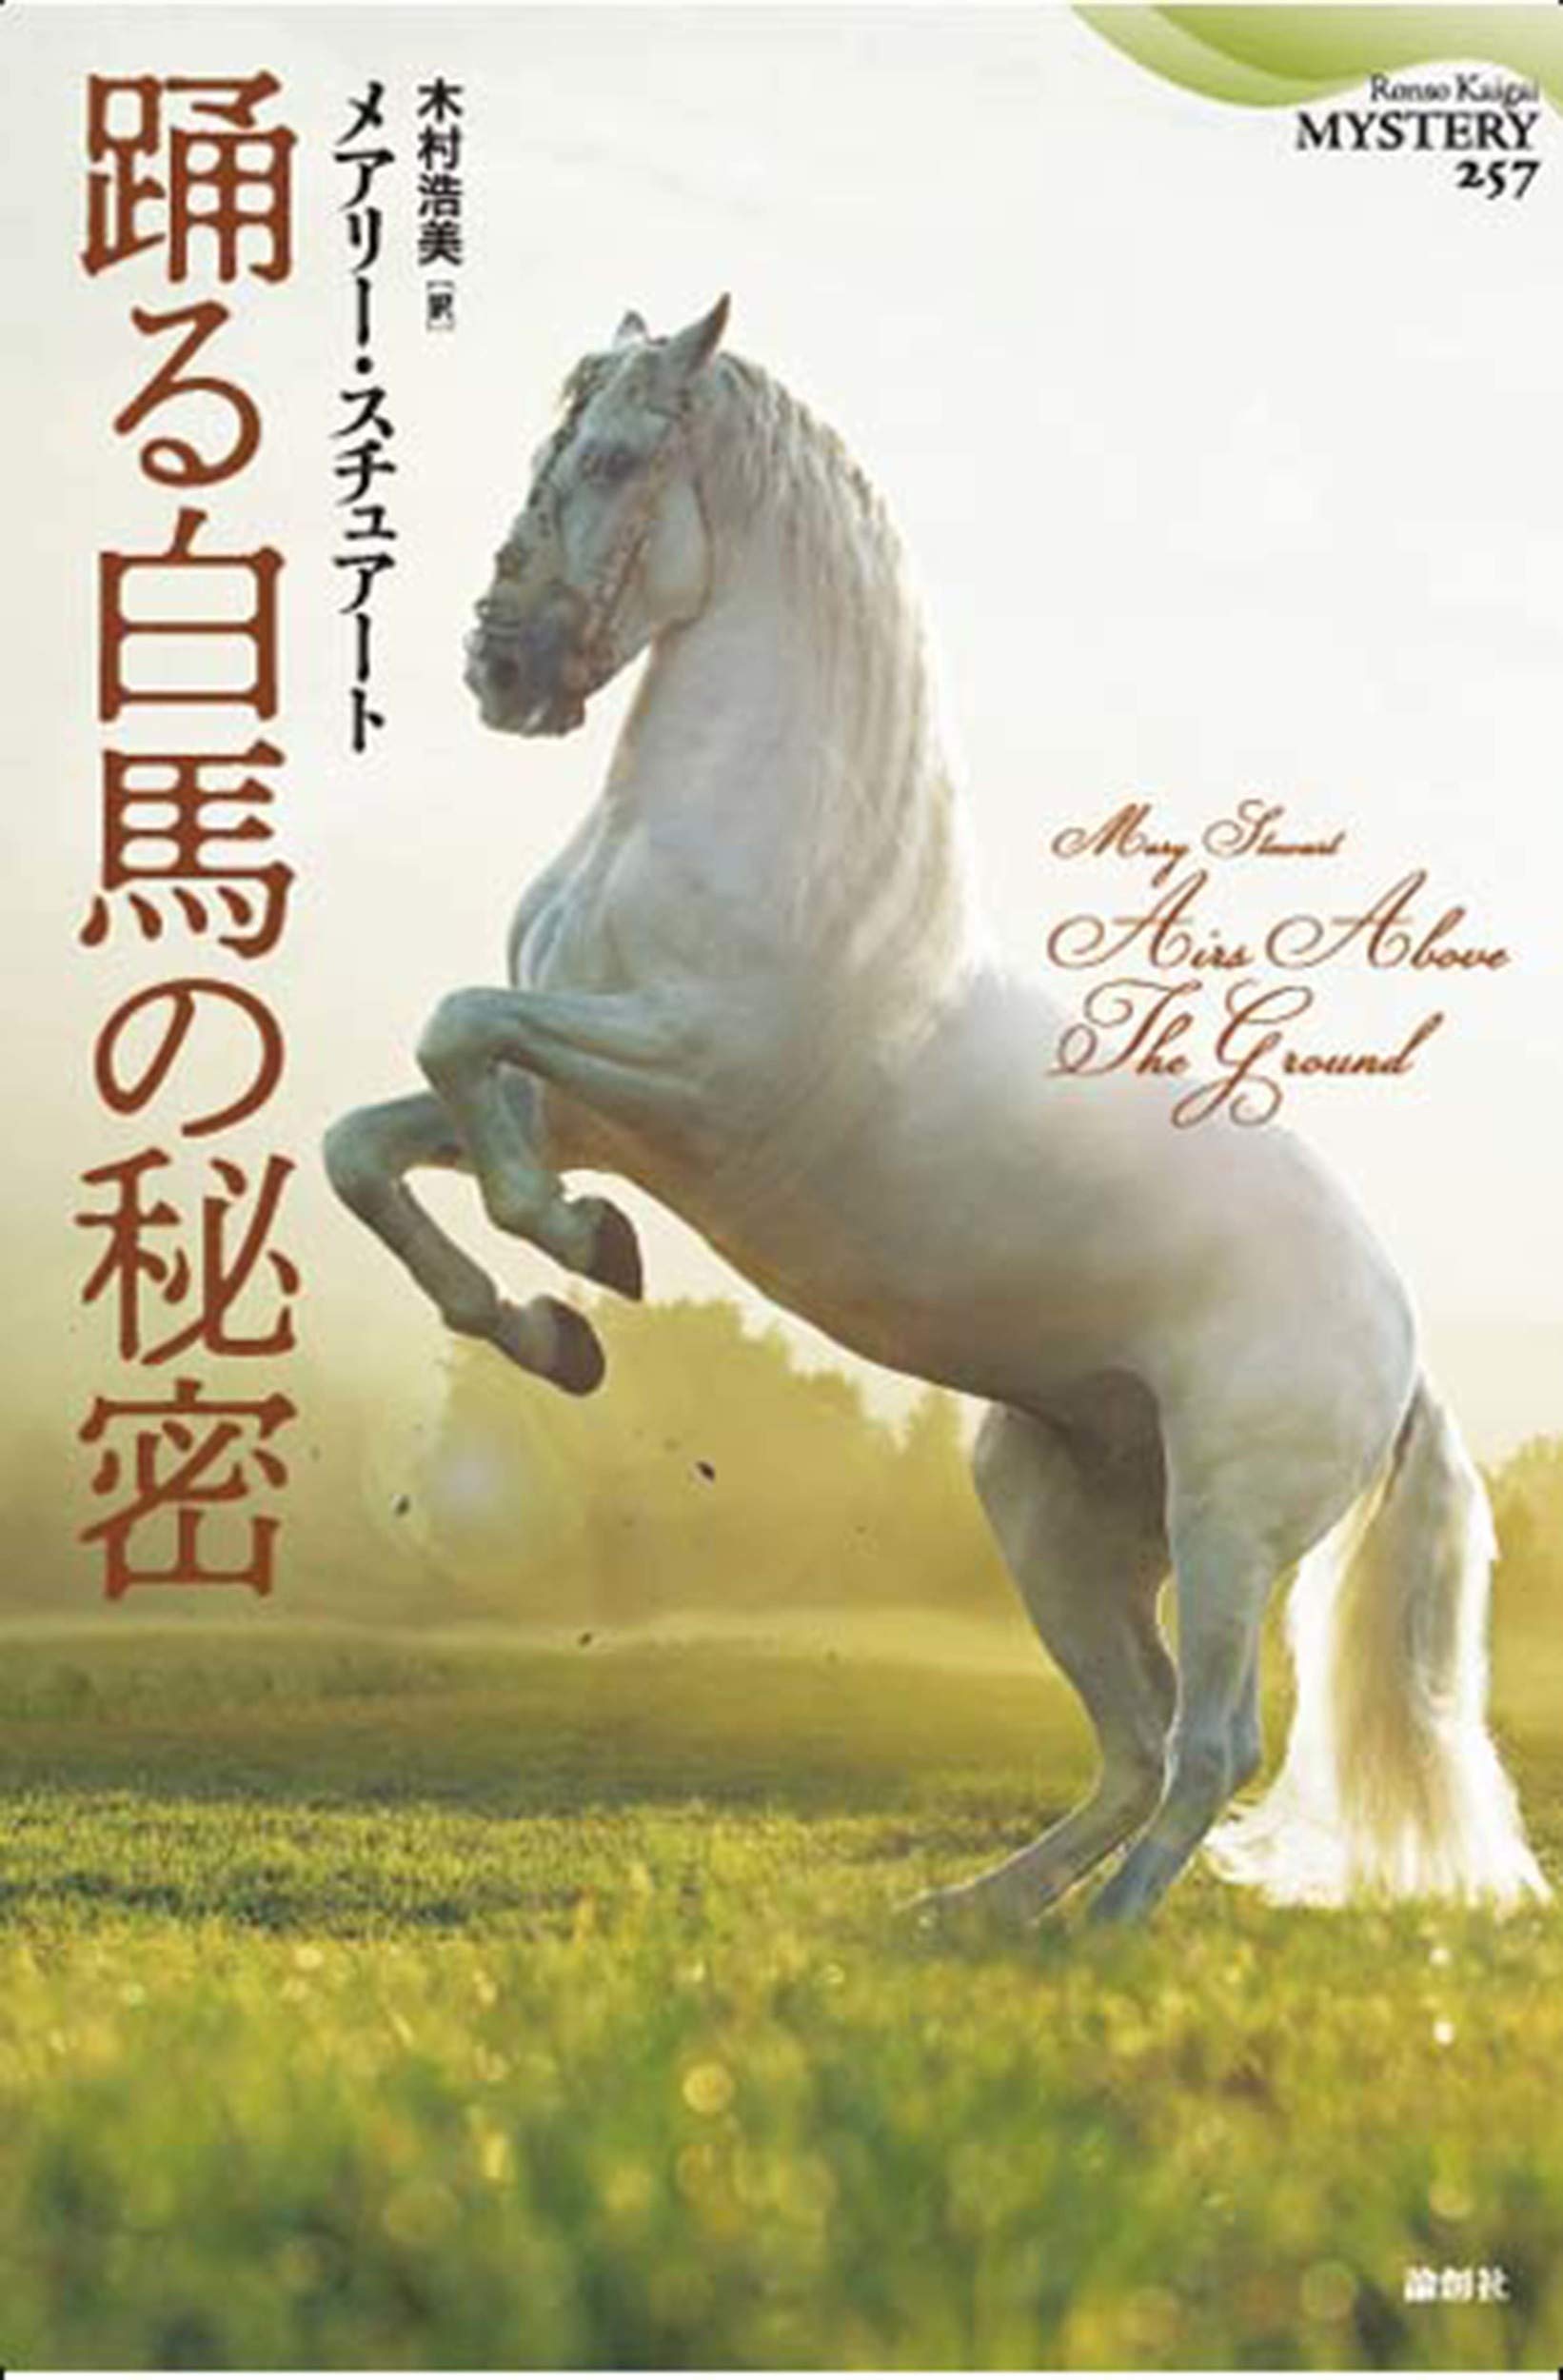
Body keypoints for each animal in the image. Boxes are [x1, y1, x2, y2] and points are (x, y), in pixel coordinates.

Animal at [324, 297, 1547, 1925]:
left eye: (620, 457)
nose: (499, 668)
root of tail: (1398, 1340)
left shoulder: (683, 1076)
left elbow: (457, 1035)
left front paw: (579, 1258)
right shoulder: (586, 1102)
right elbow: (372, 1140)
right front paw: (548, 1324)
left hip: (1225, 1523)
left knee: (1210, 1745)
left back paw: (1097, 1940)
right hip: (1050, 1508)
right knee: (1134, 1742)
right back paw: (970, 1916)